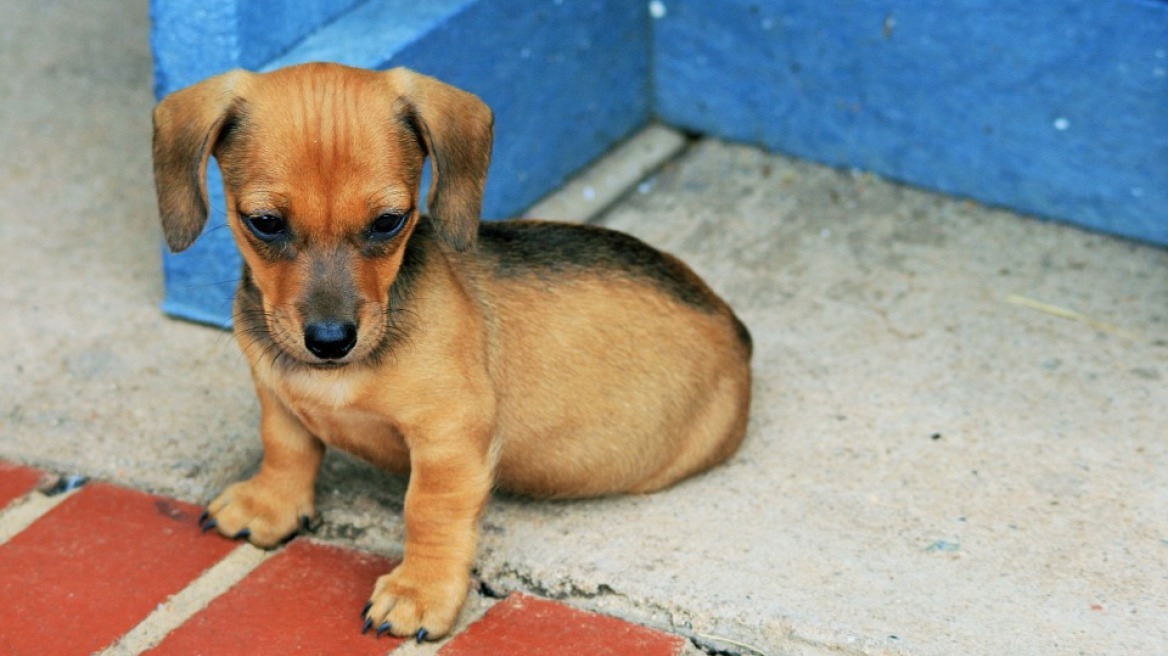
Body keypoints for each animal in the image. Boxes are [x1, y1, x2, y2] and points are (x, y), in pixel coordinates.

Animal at [150, 62, 752, 639]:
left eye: (389, 222)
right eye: (265, 223)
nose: (330, 341)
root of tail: (735, 326)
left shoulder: (448, 437)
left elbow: (428, 511)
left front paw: (420, 592)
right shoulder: (277, 395)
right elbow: (286, 447)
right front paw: (269, 504)